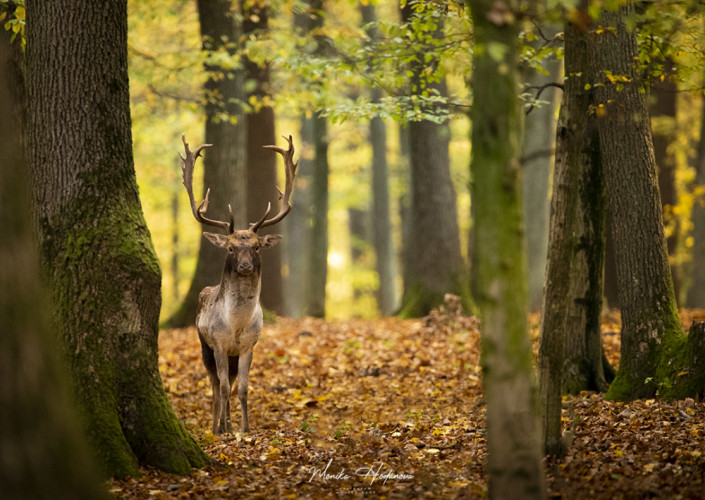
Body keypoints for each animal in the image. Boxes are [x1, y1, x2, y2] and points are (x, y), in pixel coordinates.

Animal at [179, 134, 296, 434]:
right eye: (231, 248)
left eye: (256, 247)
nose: (244, 266)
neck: (236, 326)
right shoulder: (218, 344)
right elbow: (220, 388)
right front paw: (223, 429)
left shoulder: (248, 347)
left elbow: (242, 388)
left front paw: (244, 428)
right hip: (204, 346)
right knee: (214, 384)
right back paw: (216, 425)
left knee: (229, 384)